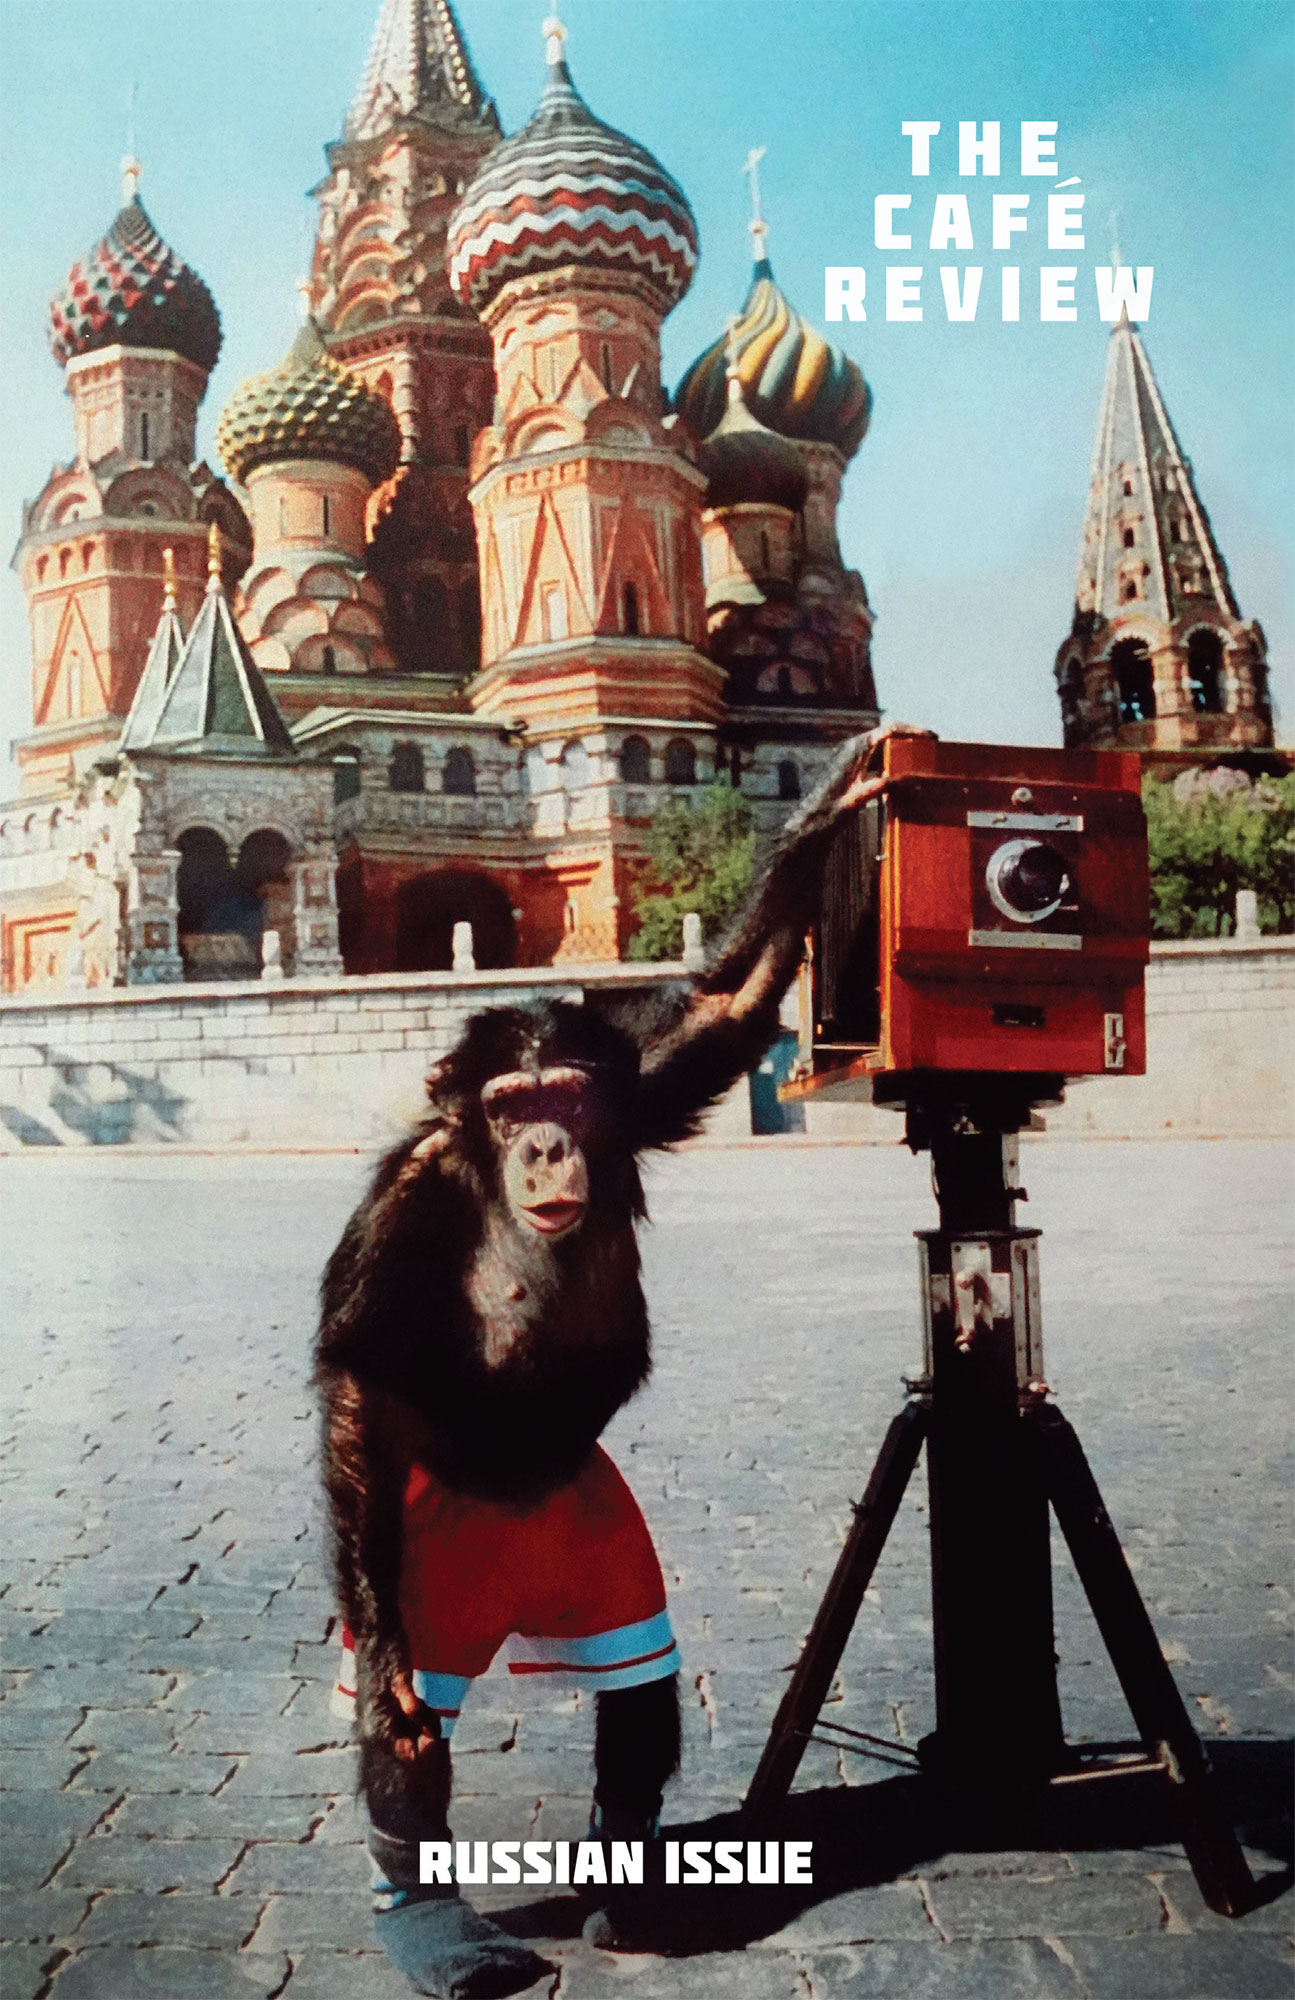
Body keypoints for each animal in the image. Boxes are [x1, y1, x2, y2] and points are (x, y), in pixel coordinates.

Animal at [317, 728, 915, 1992]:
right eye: (507, 1102)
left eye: (565, 1092)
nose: (547, 1142)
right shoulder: (400, 1202)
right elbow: (357, 1375)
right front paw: (386, 1667)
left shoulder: (641, 1091)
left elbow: (729, 1005)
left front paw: (827, 800)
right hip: (429, 1541)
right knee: (408, 1735)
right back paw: (428, 1915)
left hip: (587, 1542)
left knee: (636, 1689)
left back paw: (626, 1886)